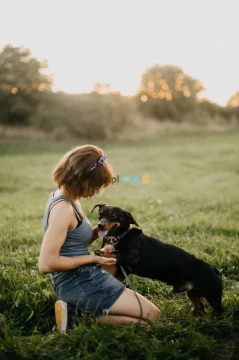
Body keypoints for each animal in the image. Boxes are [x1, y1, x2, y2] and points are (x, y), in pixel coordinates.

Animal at [92, 204, 224, 314]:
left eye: (114, 215)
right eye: (100, 214)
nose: (100, 225)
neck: (121, 237)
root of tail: (213, 270)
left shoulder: (131, 256)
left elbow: (116, 254)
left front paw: (100, 252)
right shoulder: (123, 270)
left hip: (213, 297)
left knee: (219, 312)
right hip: (192, 293)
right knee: (200, 307)